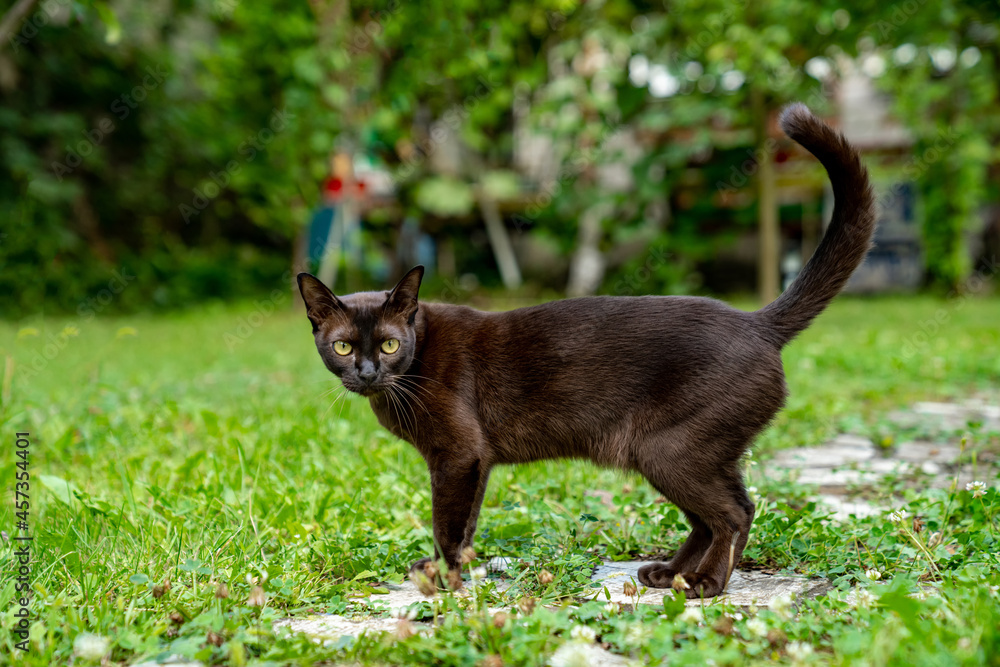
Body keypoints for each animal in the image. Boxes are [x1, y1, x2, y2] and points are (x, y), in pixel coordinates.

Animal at [296, 105, 876, 600]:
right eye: (343, 346)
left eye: (390, 344)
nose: (367, 371)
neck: (405, 376)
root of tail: (757, 321)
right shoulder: (477, 461)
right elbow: (469, 522)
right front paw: (454, 571)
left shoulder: (458, 456)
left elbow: (447, 522)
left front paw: (442, 578)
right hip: (684, 453)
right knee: (725, 511)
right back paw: (668, 573)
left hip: (672, 451)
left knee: (732, 513)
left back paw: (706, 584)